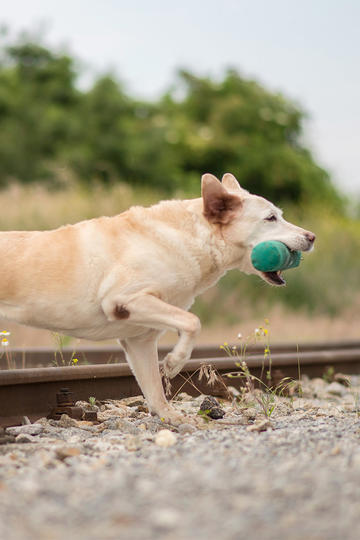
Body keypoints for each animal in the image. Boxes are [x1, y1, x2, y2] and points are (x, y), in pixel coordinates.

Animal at [0, 175, 316, 424]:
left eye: (279, 215)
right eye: (270, 218)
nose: (312, 236)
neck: (191, 238)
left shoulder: (140, 340)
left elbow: (153, 386)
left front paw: (169, 416)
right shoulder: (126, 299)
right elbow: (193, 323)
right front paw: (174, 362)